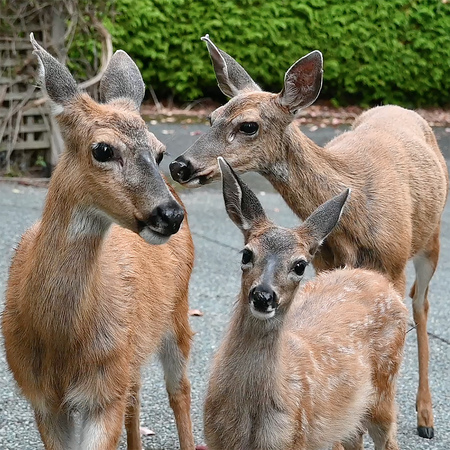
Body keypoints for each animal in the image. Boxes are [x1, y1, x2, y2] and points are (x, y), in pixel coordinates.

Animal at [0, 35, 196, 450]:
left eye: (160, 152)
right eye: (103, 149)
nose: (171, 215)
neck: (60, 339)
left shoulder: (103, 392)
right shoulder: (43, 399)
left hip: (178, 311)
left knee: (179, 390)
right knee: (136, 393)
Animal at [202, 157, 410, 450]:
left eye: (300, 265)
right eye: (246, 254)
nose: (263, 296)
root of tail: (376, 278)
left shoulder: (296, 437)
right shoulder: (214, 439)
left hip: (385, 386)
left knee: (389, 436)